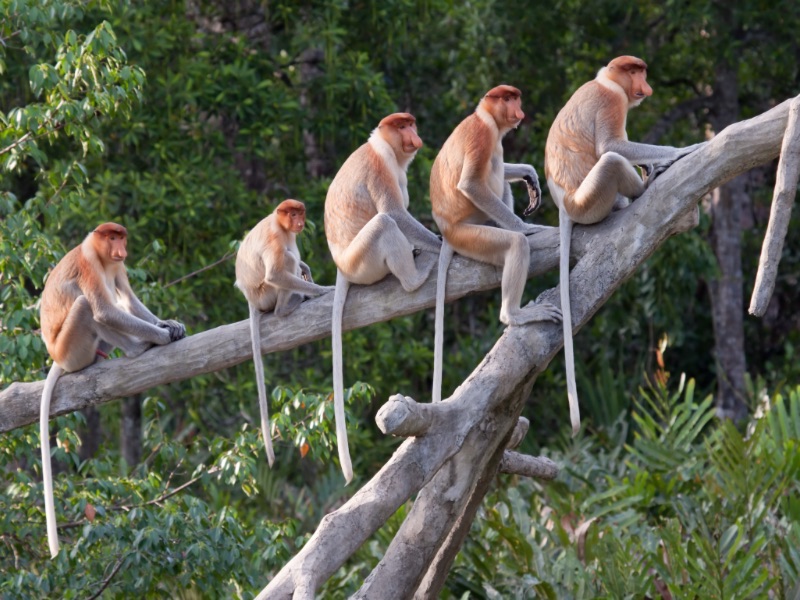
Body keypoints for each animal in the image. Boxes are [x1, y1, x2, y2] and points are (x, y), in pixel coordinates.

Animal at [39, 223, 186, 558]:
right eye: (111, 237)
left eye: (121, 237)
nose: (120, 248)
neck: (102, 256)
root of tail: (56, 356)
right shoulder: (89, 264)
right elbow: (105, 310)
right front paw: (160, 336)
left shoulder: (117, 266)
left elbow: (128, 299)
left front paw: (169, 324)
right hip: (72, 349)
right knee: (88, 306)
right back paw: (137, 347)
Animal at [234, 199, 334, 467]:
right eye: (292, 214)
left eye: (300, 213)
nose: (299, 222)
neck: (278, 223)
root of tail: (251, 300)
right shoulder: (275, 237)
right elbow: (276, 273)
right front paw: (322, 290)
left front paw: (307, 269)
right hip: (265, 294)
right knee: (286, 261)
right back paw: (287, 306)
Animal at [325, 112, 442, 483]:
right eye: (401, 126)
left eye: (411, 124)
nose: (414, 136)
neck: (383, 147)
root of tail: (342, 266)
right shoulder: (379, 168)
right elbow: (396, 212)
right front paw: (440, 243)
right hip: (364, 260)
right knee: (385, 222)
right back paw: (415, 275)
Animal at [430, 85, 562, 403]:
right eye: (508, 99)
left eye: (516, 98)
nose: (519, 110)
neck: (485, 117)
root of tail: (447, 231)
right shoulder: (483, 135)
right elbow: (471, 184)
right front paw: (527, 227)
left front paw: (529, 174)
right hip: (471, 234)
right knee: (513, 241)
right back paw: (514, 314)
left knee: (500, 176)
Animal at [543, 55, 706, 435]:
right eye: (635, 72)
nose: (646, 86)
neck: (606, 81)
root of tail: (565, 205)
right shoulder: (612, 102)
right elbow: (611, 146)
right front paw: (680, 152)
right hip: (591, 200)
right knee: (612, 160)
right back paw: (644, 186)